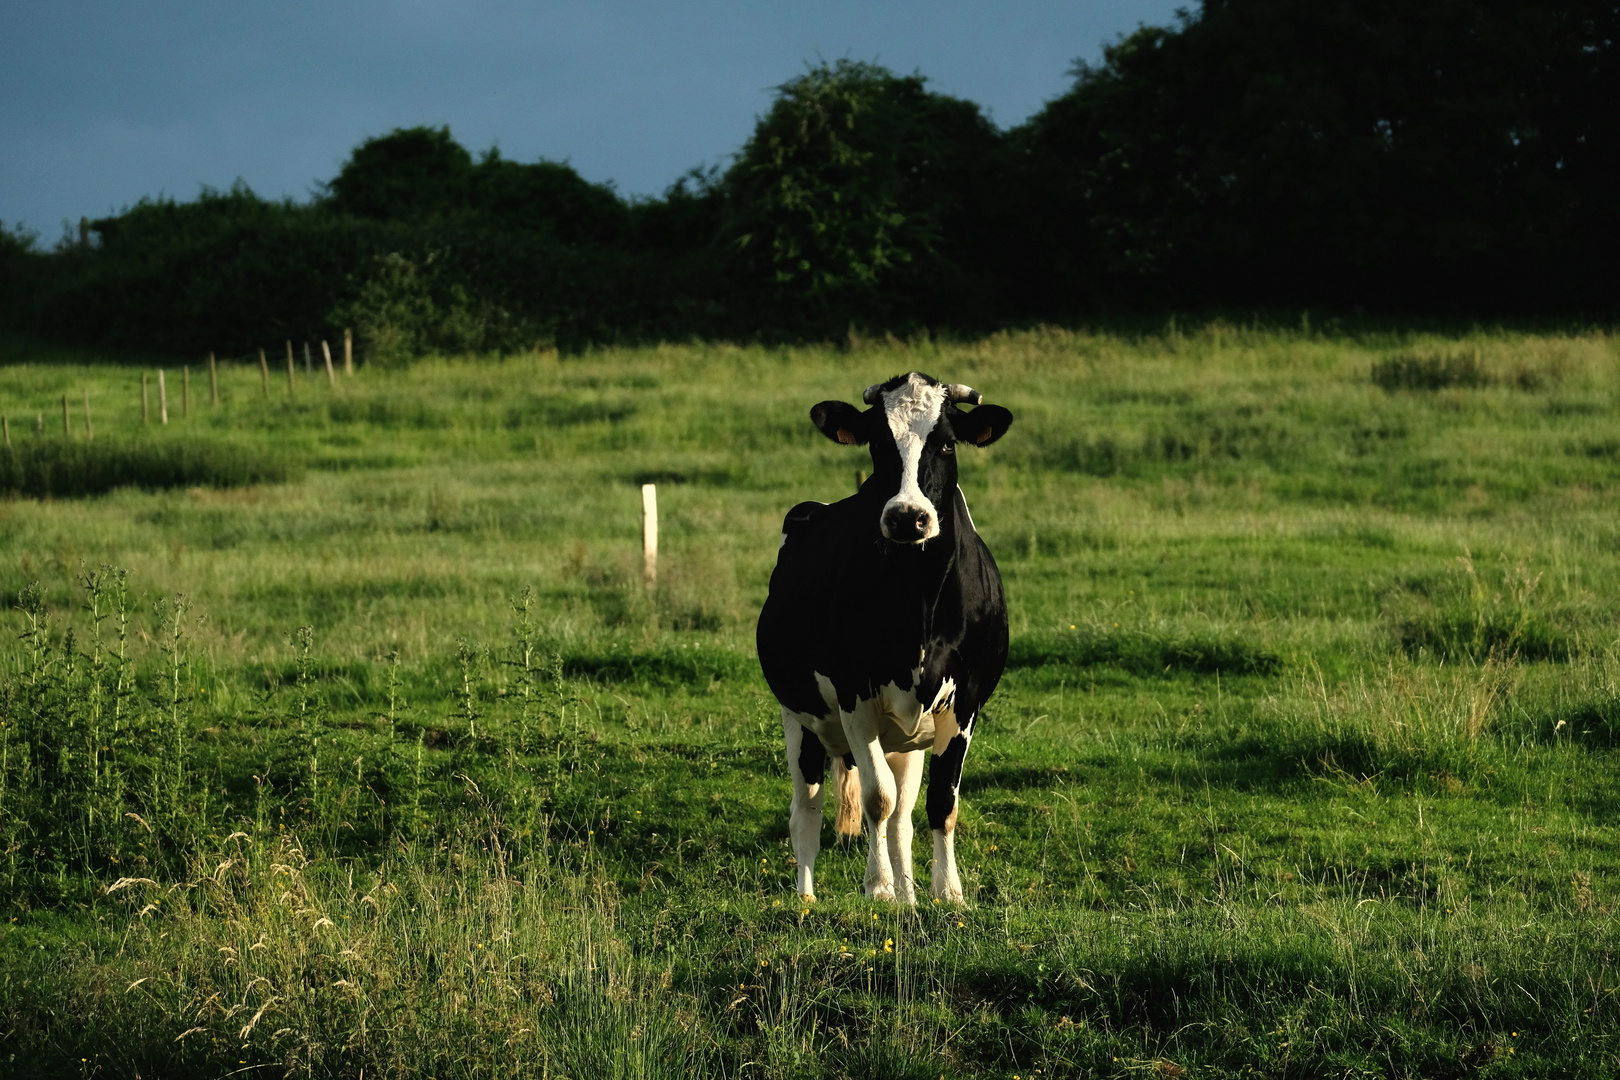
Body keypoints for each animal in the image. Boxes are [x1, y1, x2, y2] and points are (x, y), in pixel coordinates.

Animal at [751, 372, 1004, 906]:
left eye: (946, 443)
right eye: (878, 445)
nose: (907, 517)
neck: (920, 601)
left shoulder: (966, 702)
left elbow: (939, 802)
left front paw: (945, 893)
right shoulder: (854, 695)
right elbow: (876, 798)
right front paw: (880, 888)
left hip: (905, 738)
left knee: (902, 820)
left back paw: (910, 895)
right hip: (798, 718)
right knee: (806, 812)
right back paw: (806, 899)